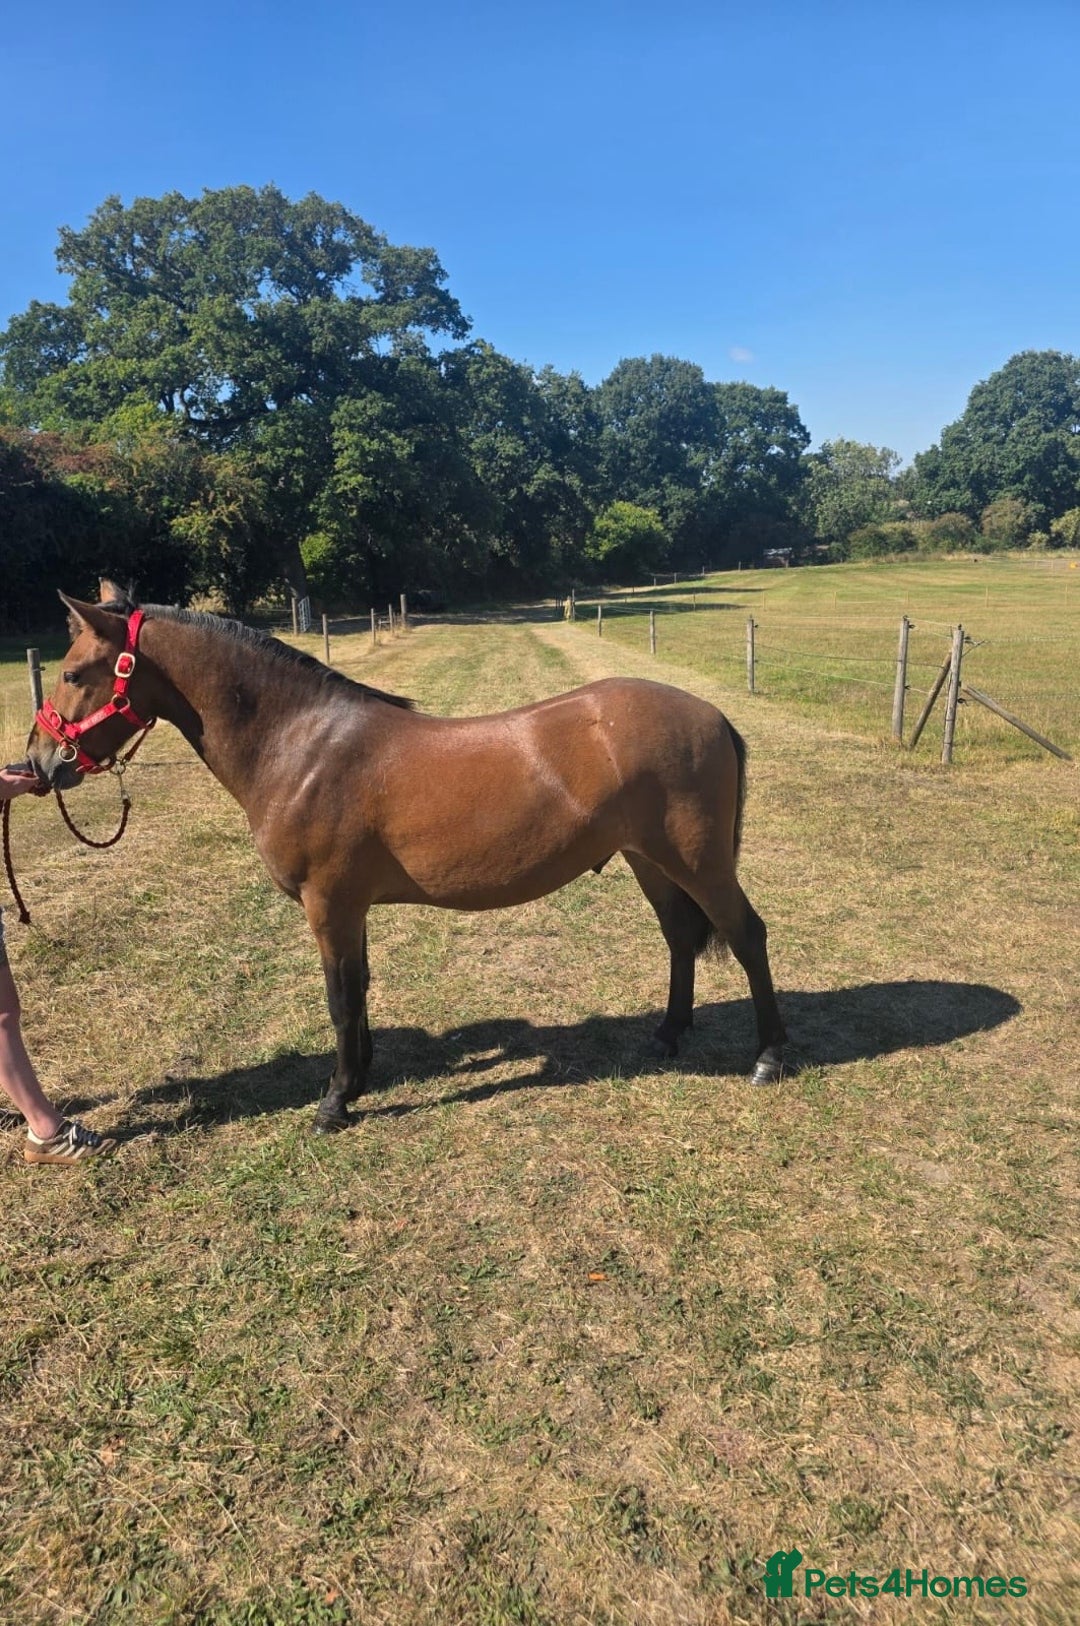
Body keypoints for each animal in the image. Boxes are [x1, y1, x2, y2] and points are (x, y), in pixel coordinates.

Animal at [26, 583, 786, 1132]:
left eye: (72, 671)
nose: (37, 763)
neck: (302, 742)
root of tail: (713, 716)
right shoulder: (350, 907)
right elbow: (360, 990)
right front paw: (360, 1079)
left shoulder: (329, 903)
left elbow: (339, 999)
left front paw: (335, 1102)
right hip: (649, 861)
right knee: (681, 936)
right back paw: (668, 1034)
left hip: (697, 861)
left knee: (747, 936)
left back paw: (769, 1057)